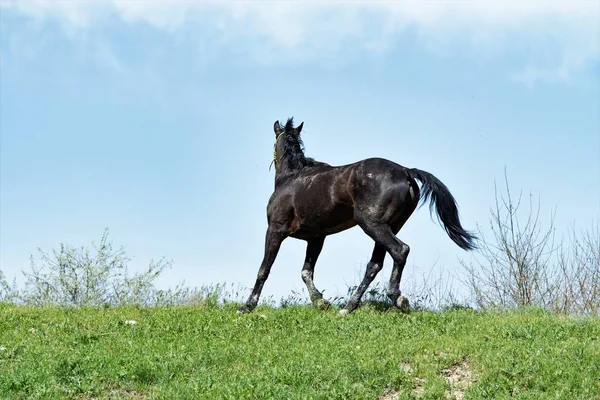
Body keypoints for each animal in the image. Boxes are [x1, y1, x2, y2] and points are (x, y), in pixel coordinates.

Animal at [237, 118, 476, 316]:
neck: (291, 178)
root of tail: (405, 171)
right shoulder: (316, 238)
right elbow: (306, 272)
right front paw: (320, 302)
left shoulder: (275, 230)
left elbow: (264, 269)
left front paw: (247, 306)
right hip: (389, 226)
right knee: (375, 264)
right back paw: (349, 307)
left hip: (371, 224)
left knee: (400, 250)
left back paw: (397, 298)